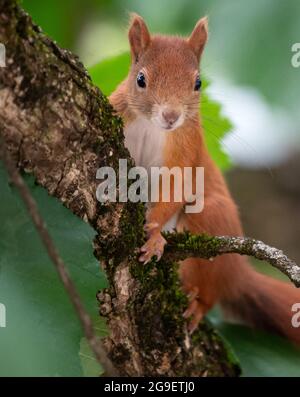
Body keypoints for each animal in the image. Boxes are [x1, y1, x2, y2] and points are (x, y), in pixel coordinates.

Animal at [109, 13, 300, 342]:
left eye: (198, 83)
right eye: (140, 79)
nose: (171, 116)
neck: (151, 126)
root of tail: (238, 272)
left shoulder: (187, 147)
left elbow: (177, 186)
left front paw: (154, 234)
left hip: (211, 218)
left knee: (210, 290)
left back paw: (197, 305)